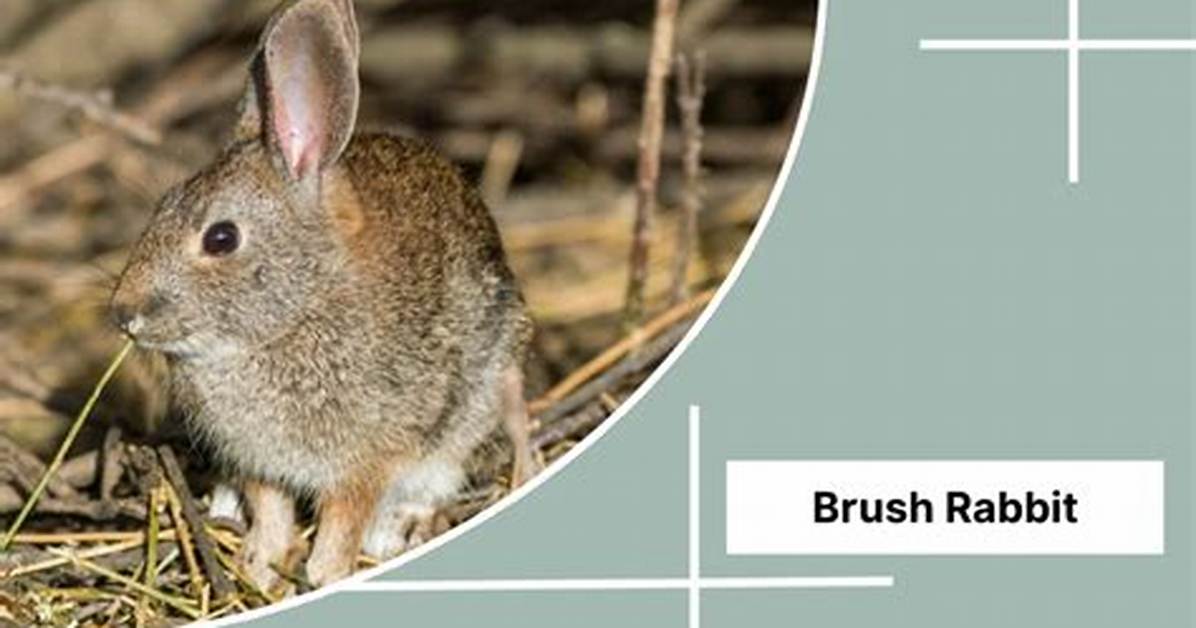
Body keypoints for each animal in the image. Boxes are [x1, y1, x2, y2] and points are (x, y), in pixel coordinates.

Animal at [109, 0, 539, 589]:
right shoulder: (259, 463)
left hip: (477, 407)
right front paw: (259, 569)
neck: (298, 309)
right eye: (161, 207)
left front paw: (326, 574)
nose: (124, 313)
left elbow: (344, 520)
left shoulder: (366, 460)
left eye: (221, 238)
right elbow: (271, 510)